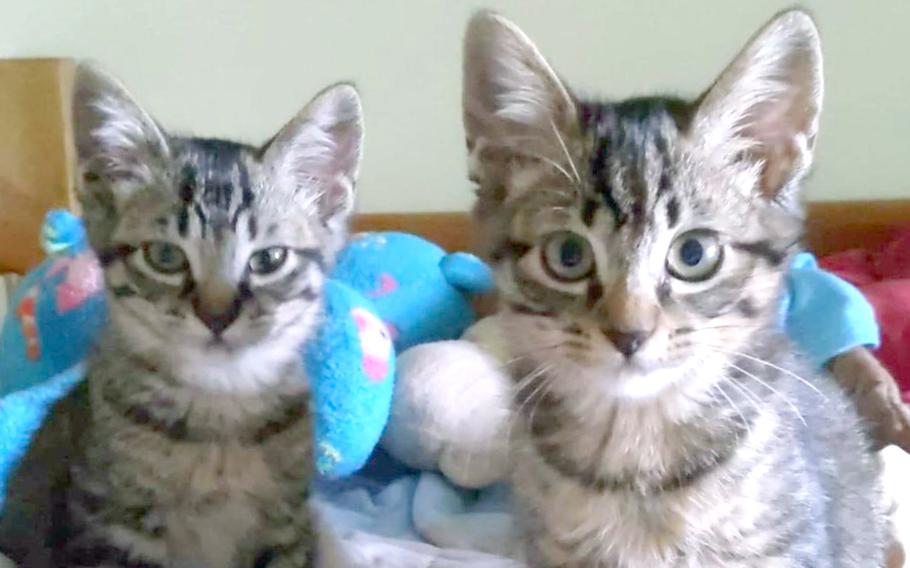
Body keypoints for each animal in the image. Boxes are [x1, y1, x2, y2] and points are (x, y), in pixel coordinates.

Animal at [0, 64, 364, 564]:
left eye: (269, 260)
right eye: (165, 257)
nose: (217, 316)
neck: (219, 406)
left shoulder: (287, 528)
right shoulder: (111, 528)